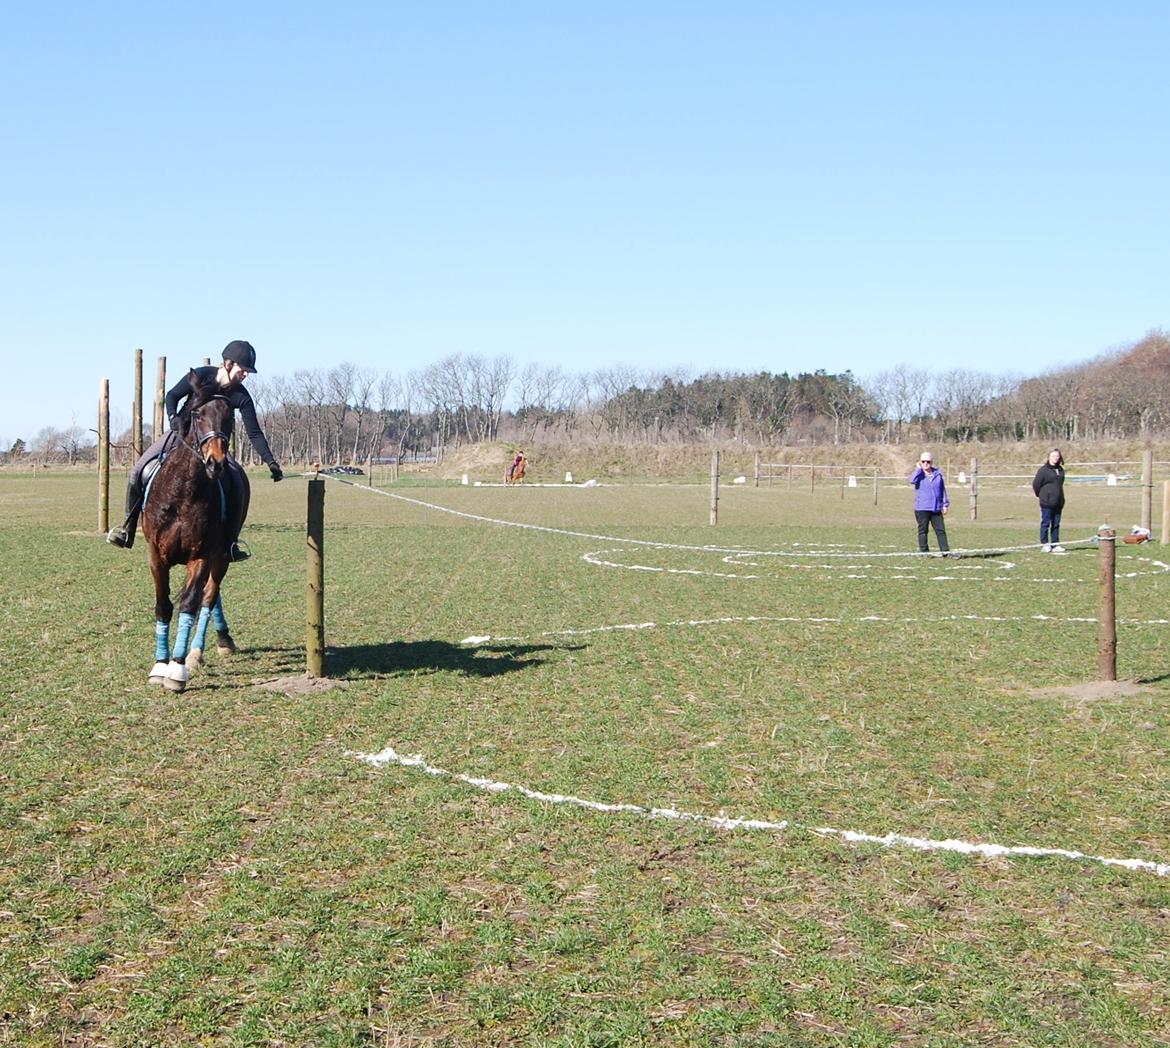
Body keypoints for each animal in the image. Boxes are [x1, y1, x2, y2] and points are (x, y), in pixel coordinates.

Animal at [142, 371, 250, 692]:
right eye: (198, 414)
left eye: (229, 417)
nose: (216, 462)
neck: (184, 492)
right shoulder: (155, 556)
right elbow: (163, 605)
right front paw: (159, 665)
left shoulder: (201, 555)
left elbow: (190, 604)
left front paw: (177, 668)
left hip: (222, 554)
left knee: (209, 597)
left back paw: (199, 652)